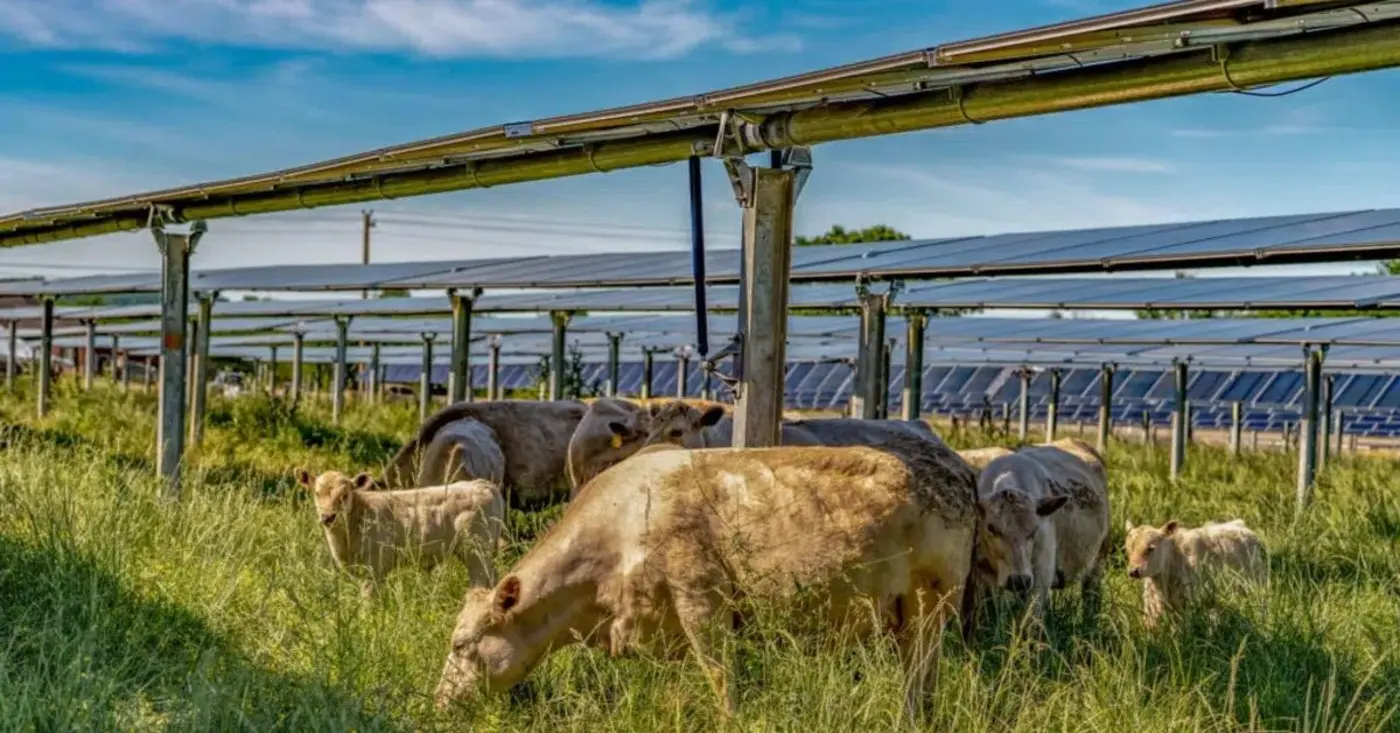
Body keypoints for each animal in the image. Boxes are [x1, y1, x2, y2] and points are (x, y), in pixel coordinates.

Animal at [296, 469, 505, 597]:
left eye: (345, 495)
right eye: (317, 493)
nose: (328, 517)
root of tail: (482, 484)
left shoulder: (375, 567)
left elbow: (367, 598)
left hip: (475, 551)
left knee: (480, 580)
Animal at [435, 435, 979, 724]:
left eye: (462, 644)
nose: (439, 702)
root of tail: (953, 465)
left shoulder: (702, 602)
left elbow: (721, 678)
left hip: (930, 604)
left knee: (917, 678)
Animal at [968, 438, 1110, 624]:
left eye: (1034, 530)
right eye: (991, 527)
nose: (1019, 580)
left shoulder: (1041, 576)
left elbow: (1031, 621)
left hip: (1097, 563)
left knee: (1091, 598)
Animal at [1124, 518, 1268, 629]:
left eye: (1151, 548)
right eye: (1127, 549)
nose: (1133, 571)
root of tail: (1239, 525)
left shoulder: (1188, 601)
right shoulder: (1152, 603)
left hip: (1255, 583)